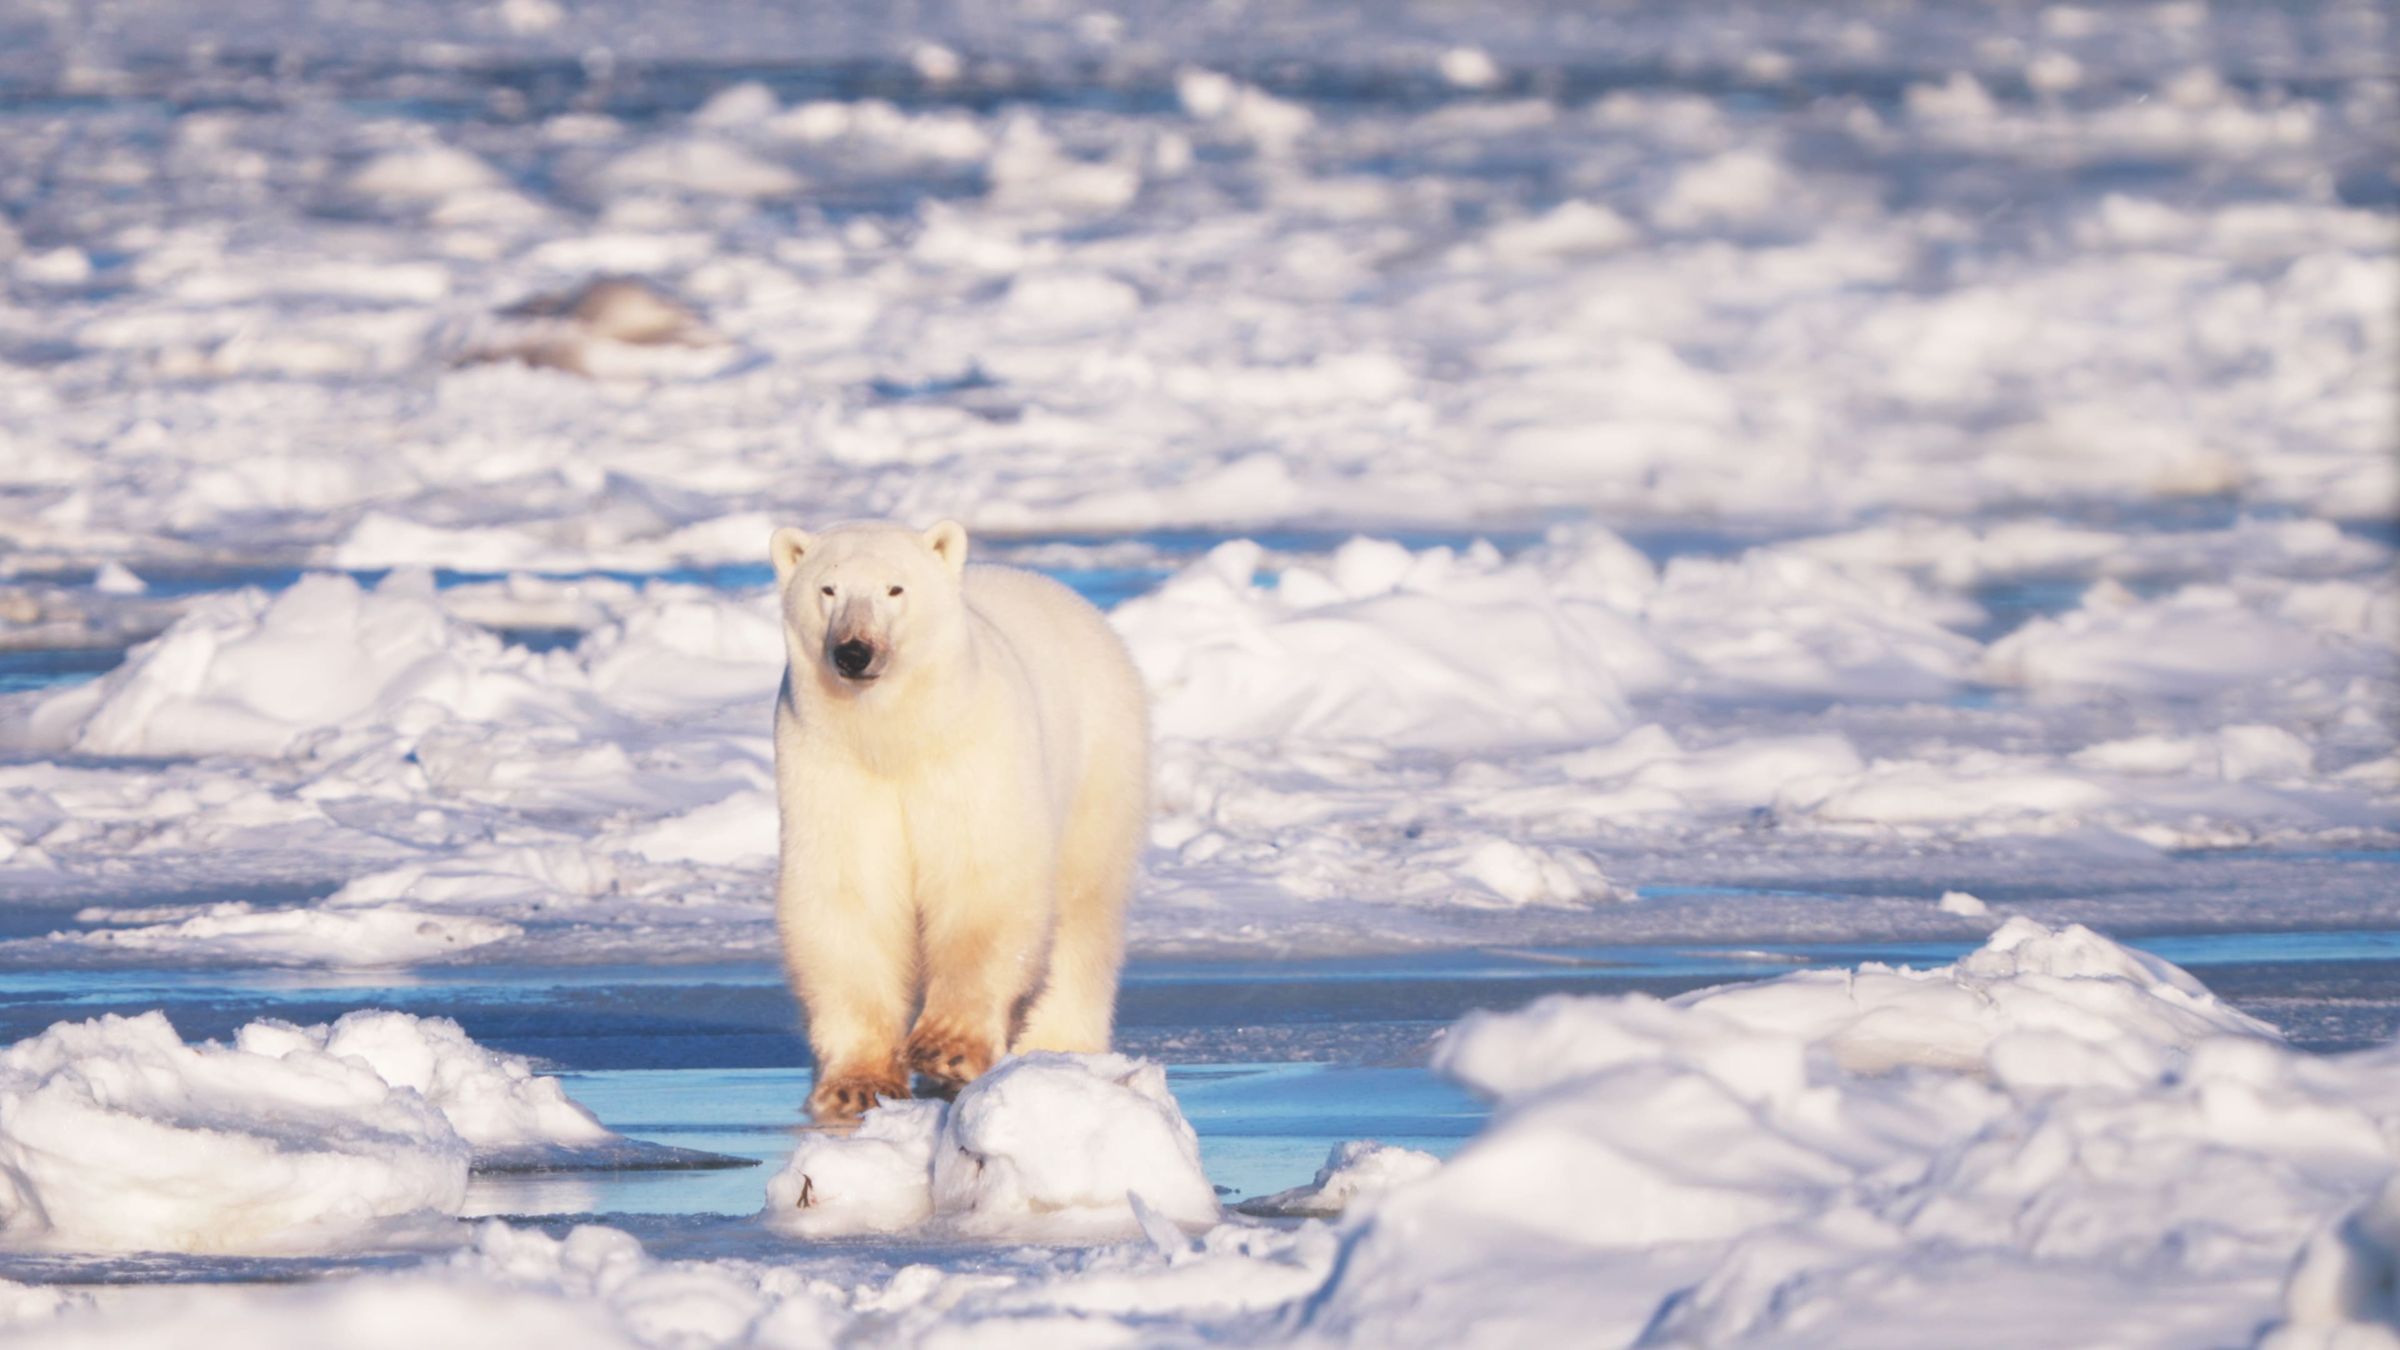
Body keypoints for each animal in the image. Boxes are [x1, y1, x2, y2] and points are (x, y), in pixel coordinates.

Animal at [768, 519, 1149, 1123]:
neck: (895, 737)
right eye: (827, 589)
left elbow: (980, 883)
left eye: (895, 589)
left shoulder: (973, 753)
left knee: (1086, 903)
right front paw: (855, 1084)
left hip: (1102, 758)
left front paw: (946, 1049)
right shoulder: (827, 766)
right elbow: (848, 899)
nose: (854, 651)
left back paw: (1060, 1047)